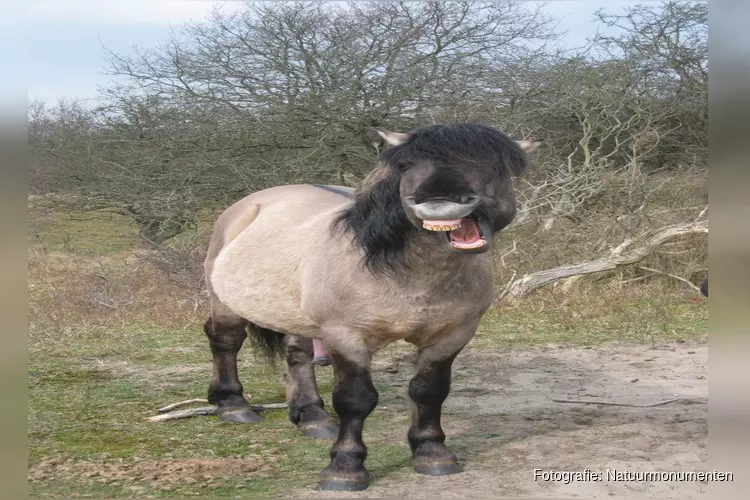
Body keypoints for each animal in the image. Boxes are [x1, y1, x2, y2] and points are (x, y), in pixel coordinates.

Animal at [204, 123, 540, 490]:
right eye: (405, 166)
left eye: (494, 166)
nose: (439, 202)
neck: (404, 274)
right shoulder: (345, 336)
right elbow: (355, 401)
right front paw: (345, 467)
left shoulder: (451, 336)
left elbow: (429, 392)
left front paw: (432, 453)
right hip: (226, 303)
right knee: (225, 341)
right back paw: (233, 406)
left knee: (298, 355)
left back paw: (313, 417)